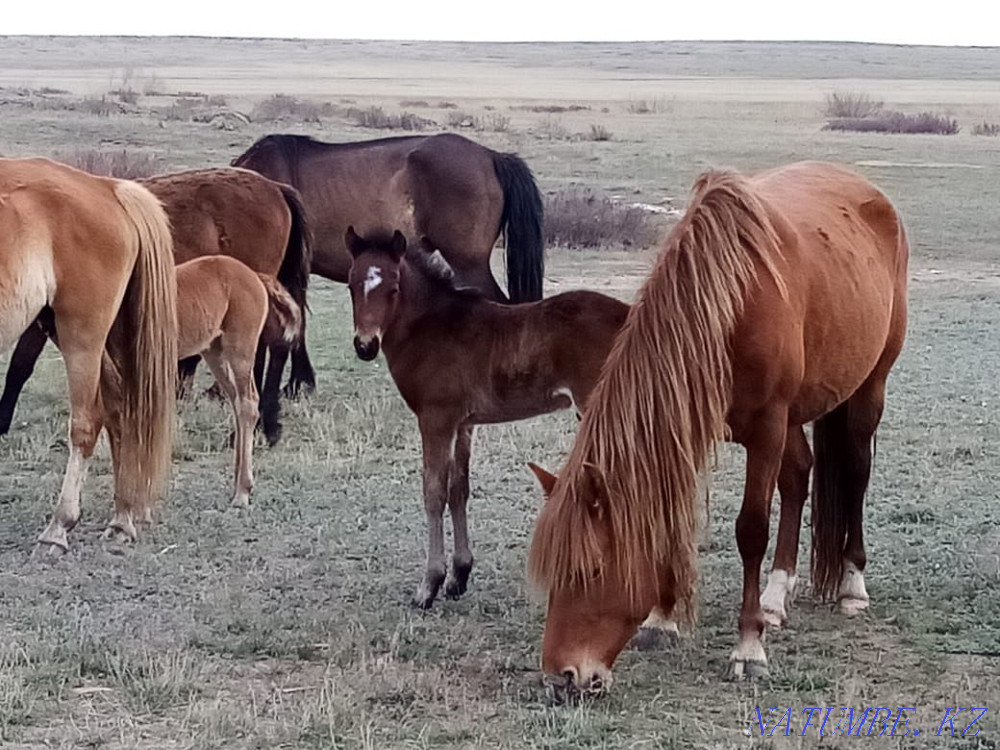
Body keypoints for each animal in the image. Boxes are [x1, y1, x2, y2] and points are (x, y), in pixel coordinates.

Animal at [0, 157, 177, 552]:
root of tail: (107, 189)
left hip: (82, 336)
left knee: (87, 422)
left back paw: (59, 527)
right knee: (117, 409)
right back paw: (122, 517)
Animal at [345, 227, 629, 609]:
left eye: (393, 288)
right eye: (351, 285)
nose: (365, 346)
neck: (430, 326)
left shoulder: (435, 419)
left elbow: (433, 492)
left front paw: (429, 586)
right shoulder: (463, 423)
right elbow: (458, 489)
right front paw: (458, 577)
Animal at [527, 161, 908, 692]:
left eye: (592, 570)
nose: (560, 678)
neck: (729, 305)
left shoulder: (766, 429)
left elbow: (751, 530)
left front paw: (748, 648)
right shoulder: (683, 430)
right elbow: (671, 526)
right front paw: (662, 619)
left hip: (868, 387)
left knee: (854, 472)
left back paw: (852, 584)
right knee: (799, 476)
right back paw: (776, 596)